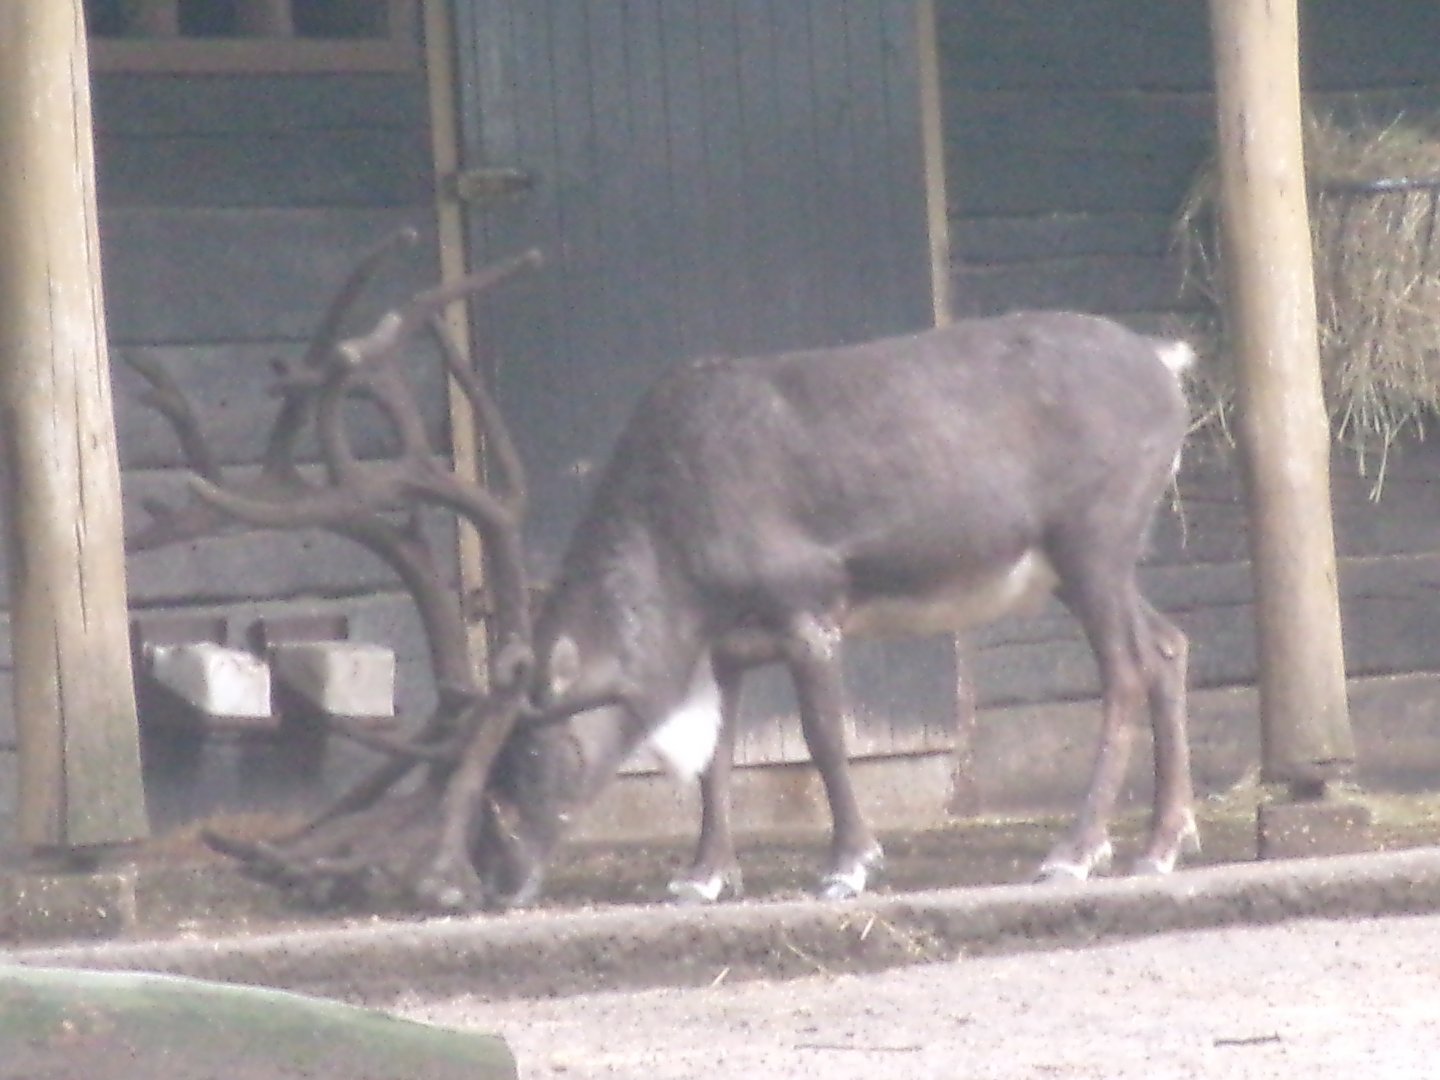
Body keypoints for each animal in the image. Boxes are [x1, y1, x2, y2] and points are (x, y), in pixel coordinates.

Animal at [471, 310, 1198, 909]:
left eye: (529, 750)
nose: (496, 883)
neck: (678, 575)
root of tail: (1167, 364)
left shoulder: (809, 611)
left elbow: (823, 736)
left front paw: (848, 866)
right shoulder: (728, 646)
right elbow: (716, 761)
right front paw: (704, 875)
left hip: (1092, 540)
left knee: (1125, 669)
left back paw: (1075, 853)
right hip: (1085, 564)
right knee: (1167, 644)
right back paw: (1163, 844)